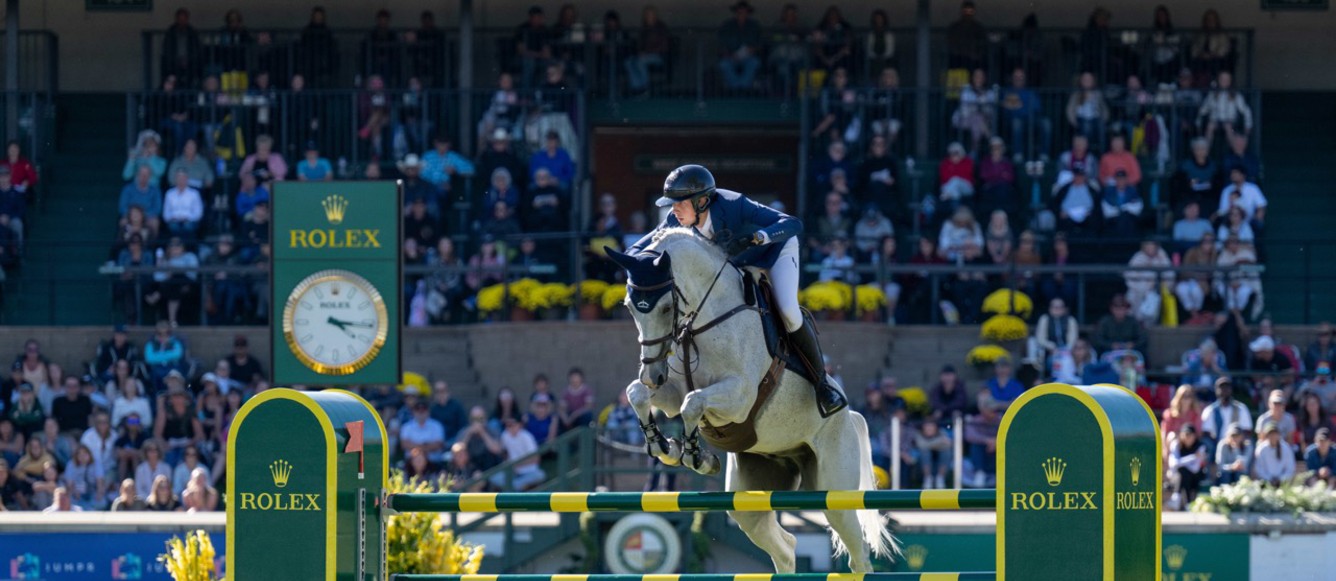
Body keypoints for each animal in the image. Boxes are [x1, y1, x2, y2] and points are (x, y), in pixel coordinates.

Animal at [609, 227, 897, 574]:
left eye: (665, 308)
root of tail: (850, 417)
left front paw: (695, 456)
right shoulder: (672, 391)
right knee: (784, 546)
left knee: (858, 554)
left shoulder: (739, 397)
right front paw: (661, 446)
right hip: (752, 494)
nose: (653, 374)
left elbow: (693, 403)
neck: (706, 320)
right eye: (629, 306)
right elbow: (639, 394)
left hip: (835, 493)